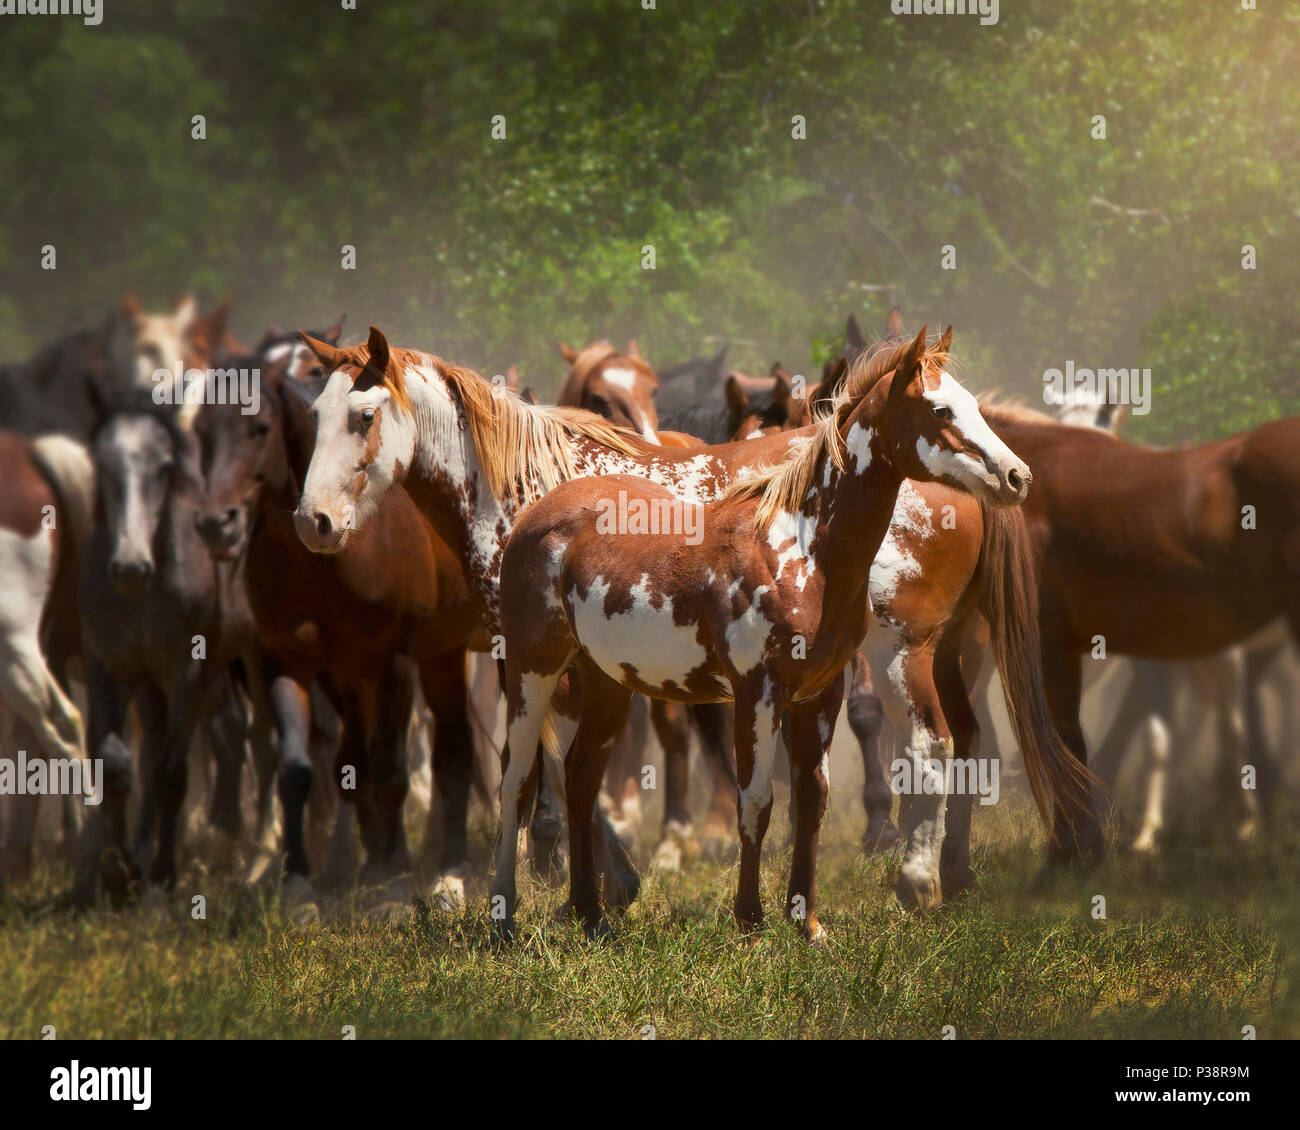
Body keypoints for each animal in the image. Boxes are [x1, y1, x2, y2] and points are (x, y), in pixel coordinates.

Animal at [491, 323, 1050, 936]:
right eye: (940, 408)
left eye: (972, 403)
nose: (1016, 476)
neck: (801, 546)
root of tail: (534, 516)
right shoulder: (756, 692)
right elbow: (756, 800)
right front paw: (750, 920)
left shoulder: (819, 694)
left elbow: (813, 799)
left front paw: (806, 923)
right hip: (532, 672)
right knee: (516, 777)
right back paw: (504, 916)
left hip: (606, 683)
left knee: (581, 776)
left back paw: (590, 915)